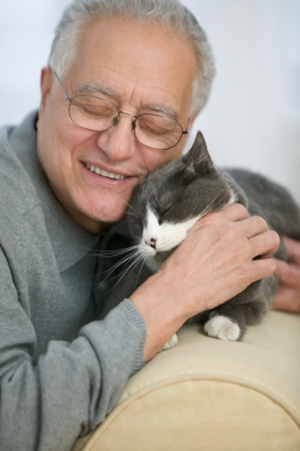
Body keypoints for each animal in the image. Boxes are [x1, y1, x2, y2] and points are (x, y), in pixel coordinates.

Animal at [101, 132, 300, 348]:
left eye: (166, 209)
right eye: (137, 223)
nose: (150, 241)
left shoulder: (262, 280)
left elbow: (246, 304)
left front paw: (224, 324)